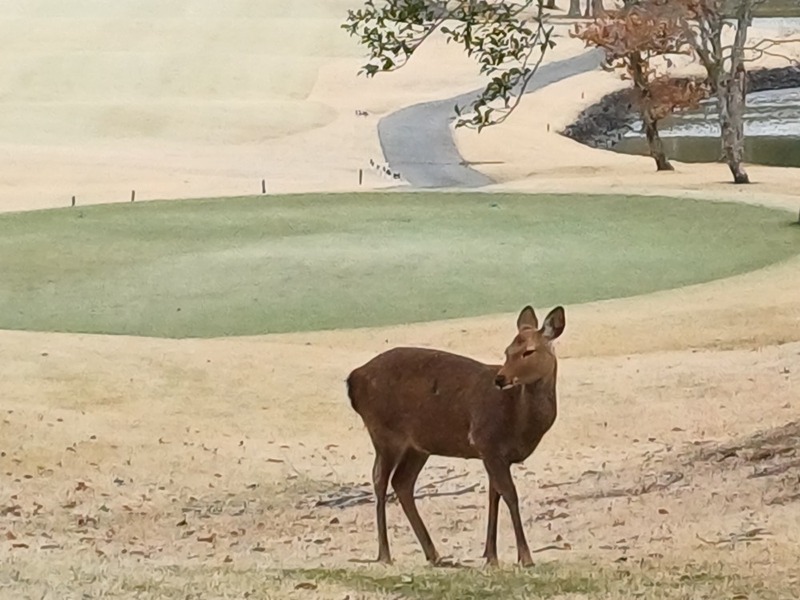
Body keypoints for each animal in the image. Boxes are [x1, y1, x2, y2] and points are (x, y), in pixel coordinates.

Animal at [346, 308, 564, 564]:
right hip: (384, 433)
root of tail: (353, 379)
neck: (519, 422)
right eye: (507, 351)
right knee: (380, 478)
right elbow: (510, 495)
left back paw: (433, 554)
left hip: (418, 445)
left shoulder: (495, 455)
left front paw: (491, 556)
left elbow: (494, 496)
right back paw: (385, 554)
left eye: (528, 351)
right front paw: (525, 558)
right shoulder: (486, 441)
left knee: (402, 482)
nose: (500, 379)